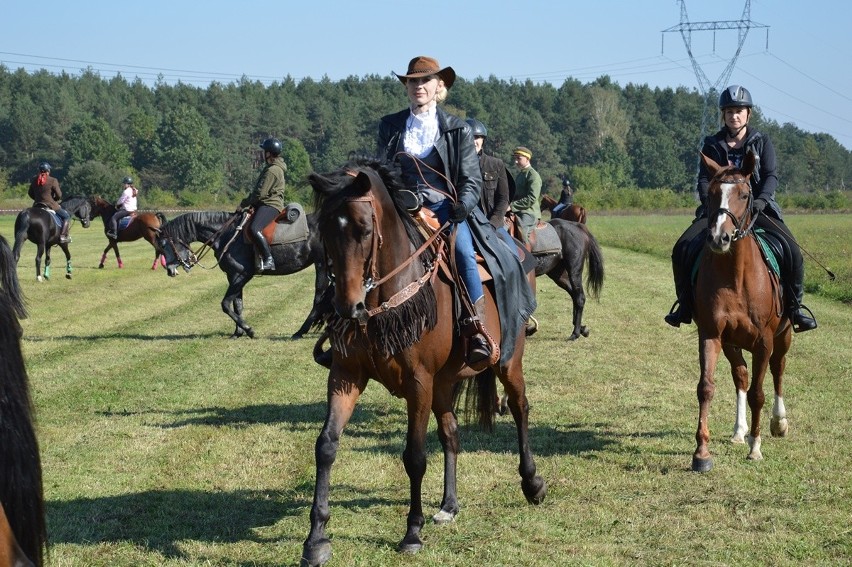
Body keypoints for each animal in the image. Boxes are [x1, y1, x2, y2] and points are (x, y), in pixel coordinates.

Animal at [158, 211, 332, 340]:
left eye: (164, 244)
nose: (169, 270)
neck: (227, 236)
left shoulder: (242, 275)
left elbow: (225, 304)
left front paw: (249, 330)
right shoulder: (233, 276)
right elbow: (237, 304)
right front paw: (238, 332)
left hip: (321, 265)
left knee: (318, 298)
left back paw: (300, 331)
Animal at [302, 158, 544, 564]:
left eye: (364, 229)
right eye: (324, 232)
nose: (346, 307)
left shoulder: (418, 382)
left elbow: (414, 456)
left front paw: (411, 533)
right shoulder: (345, 374)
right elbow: (326, 445)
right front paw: (316, 538)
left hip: (507, 359)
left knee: (520, 407)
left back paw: (533, 482)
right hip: (443, 383)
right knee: (451, 432)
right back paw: (449, 504)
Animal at [692, 152, 792, 474]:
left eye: (745, 195)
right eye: (711, 193)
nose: (718, 238)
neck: (735, 275)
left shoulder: (764, 342)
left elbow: (759, 395)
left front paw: (756, 448)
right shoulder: (711, 335)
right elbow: (707, 387)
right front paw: (701, 453)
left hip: (783, 338)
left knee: (777, 370)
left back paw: (778, 422)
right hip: (732, 344)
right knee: (741, 377)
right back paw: (739, 431)